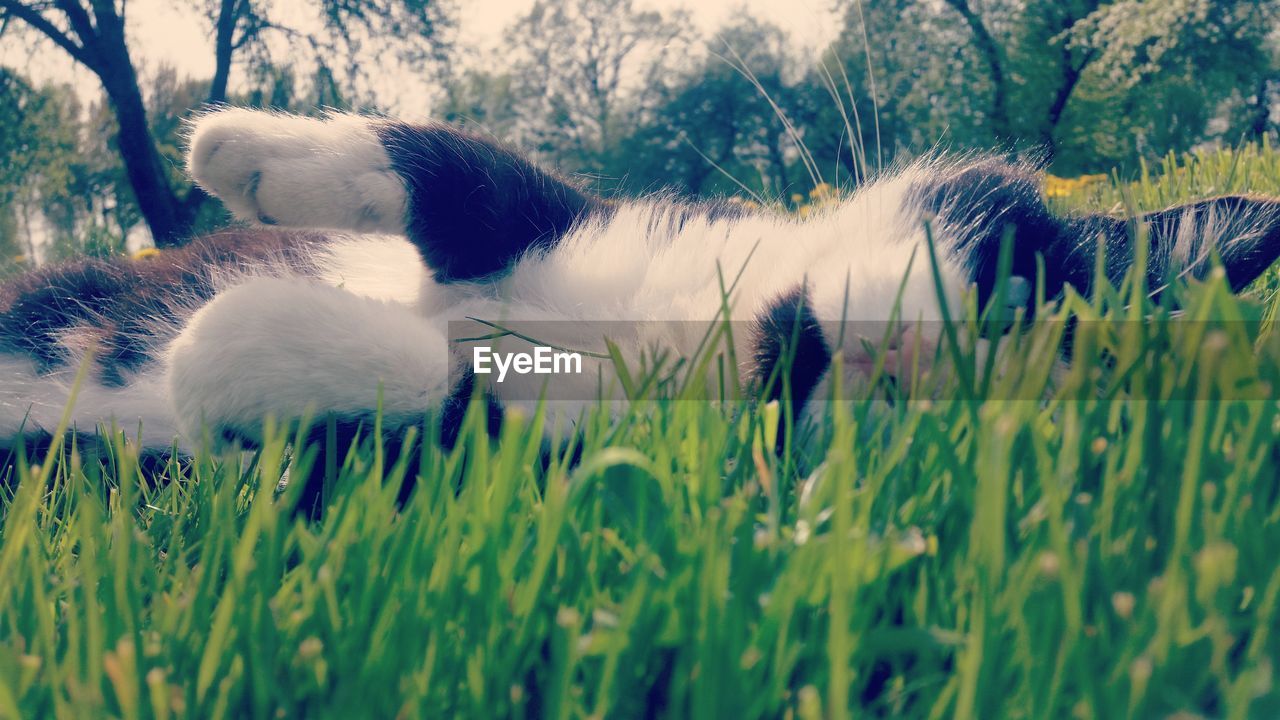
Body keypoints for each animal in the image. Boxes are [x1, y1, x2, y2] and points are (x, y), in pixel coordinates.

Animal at [2, 105, 1280, 481]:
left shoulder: (532, 462)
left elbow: (447, 405)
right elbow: (471, 174)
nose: (896, 363)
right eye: (1013, 279)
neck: (683, 332)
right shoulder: (598, 222)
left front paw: (227, 350)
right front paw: (247, 152)